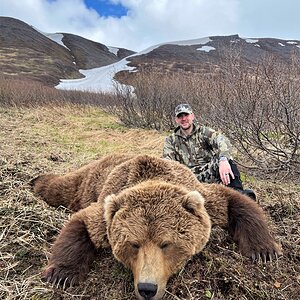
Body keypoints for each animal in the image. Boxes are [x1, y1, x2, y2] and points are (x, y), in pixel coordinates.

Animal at [31, 155, 282, 300]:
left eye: (166, 244)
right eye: (134, 244)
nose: (147, 289)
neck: (151, 176)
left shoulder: (201, 196)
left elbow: (233, 202)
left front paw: (264, 251)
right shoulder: (105, 211)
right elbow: (82, 222)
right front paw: (61, 274)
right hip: (89, 181)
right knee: (61, 187)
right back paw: (36, 179)